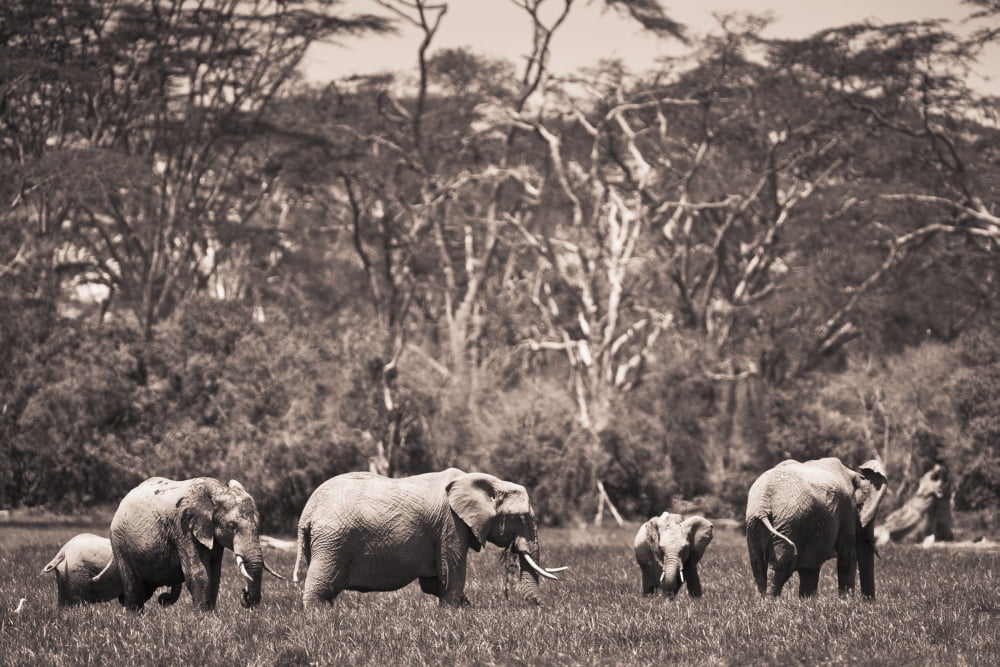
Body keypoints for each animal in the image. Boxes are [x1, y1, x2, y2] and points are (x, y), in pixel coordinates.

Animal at [97, 477, 283, 611]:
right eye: (231, 526)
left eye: (258, 525)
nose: (244, 594)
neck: (217, 490)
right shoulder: (184, 528)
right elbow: (198, 573)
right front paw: (202, 618)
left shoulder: (212, 537)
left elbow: (215, 574)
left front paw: (211, 614)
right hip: (119, 541)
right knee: (132, 584)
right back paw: (135, 617)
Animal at [292, 468, 567, 608]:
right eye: (521, 518)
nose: (540, 607)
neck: (490, 482)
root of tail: (307, 513)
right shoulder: (451, 524)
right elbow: (451, 572)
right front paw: (454, 613)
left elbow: (434, 581)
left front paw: (465, 607)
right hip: (331, 541)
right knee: (320, 586)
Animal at [745, 457, 888, 599]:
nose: (868, 602)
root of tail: (763, 505)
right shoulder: (848, 509)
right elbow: (847, 556)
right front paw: (847, 601)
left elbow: (810, 568)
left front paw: (807, 601)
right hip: (788, 522)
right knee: (780, 565)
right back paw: (772, 602)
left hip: (755, 524)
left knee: (758, 566)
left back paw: (764, 601)